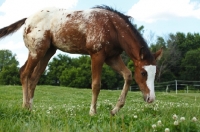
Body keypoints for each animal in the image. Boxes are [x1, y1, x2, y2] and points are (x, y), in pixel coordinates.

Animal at [0, 5, 162, 115]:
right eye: (143, 73)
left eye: (155, 74)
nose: (151, 98)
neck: (112, 27)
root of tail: (27, 20)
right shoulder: (97, 55)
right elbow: (96, 85)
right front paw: (92, 112)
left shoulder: (112, 57)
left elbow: (127, 75)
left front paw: (115, 110)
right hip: (36, 51)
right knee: (24, 74)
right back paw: (25, 107)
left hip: (47, 52)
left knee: (33, 78)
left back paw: (30, 108)